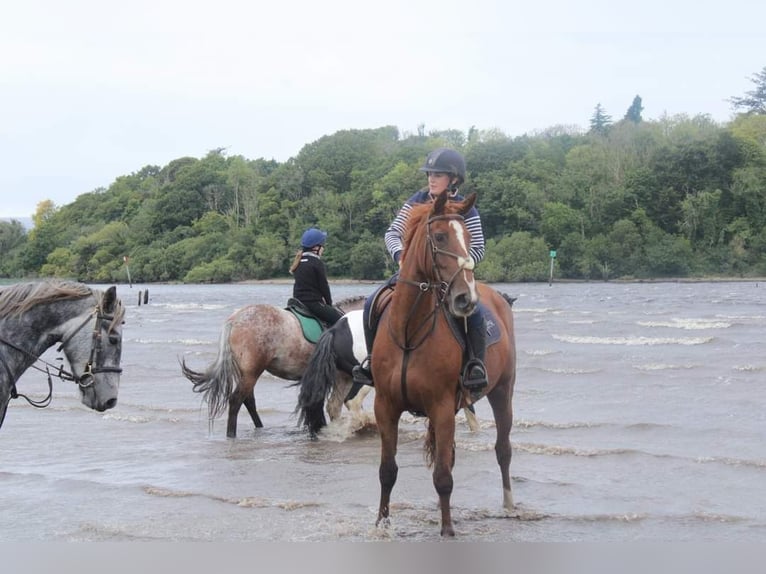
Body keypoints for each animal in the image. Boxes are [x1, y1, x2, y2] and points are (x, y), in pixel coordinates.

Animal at [372, 195, 516, 540]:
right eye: (439, 237)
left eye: (468, 238)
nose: (466, 299)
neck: (409, 333)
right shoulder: (386, 406)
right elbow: (388, 470)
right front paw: (382, 523)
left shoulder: (440, 405)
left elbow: (442, 475)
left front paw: (448, 529)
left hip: (502, 392)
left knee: (503, 449)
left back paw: (508, 504)